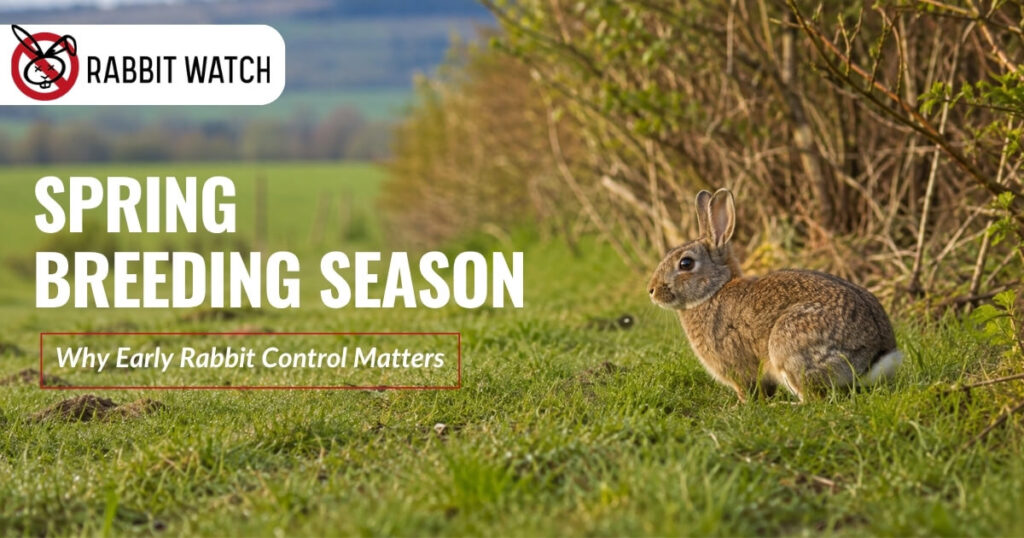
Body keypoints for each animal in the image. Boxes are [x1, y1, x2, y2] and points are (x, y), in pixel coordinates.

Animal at [647, 188, 902, 402]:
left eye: (686, 263)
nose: (651, 290)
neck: (714, 290)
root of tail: (875, 358)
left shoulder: (738, 366)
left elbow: (748, 388)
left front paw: (741, 406)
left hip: (788, 347)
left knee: (814, 399)